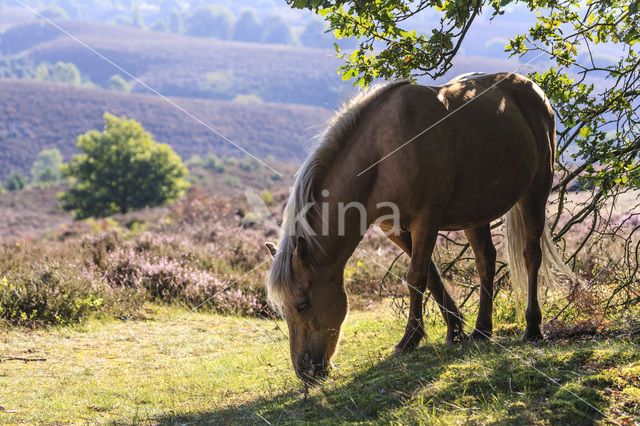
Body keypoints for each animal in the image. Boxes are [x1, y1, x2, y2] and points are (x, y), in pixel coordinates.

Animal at [262, 71, 572, 384]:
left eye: (301, 304)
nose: (305, 371)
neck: (382, 152)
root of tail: (531, 88)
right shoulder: (395, 229)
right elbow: (431, 276)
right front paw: (455, 330)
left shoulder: (426, 221)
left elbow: (415, 278)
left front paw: (409, 339)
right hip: (475, 214)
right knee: (486, 260)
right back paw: (482, 330)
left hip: (535, 193)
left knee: (531, 256)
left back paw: (532, 328)